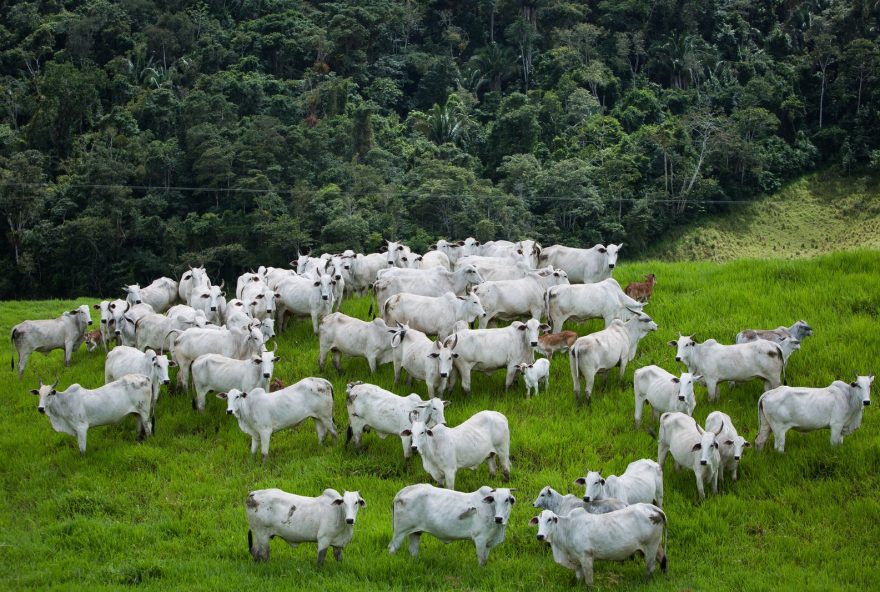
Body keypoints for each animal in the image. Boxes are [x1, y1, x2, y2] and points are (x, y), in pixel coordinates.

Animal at [386, 486, 516, 564]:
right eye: (494, 500)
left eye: (507, 500)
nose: (498, 519)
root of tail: (402, 492)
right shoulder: (480, 539)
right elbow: (481, 560)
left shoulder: (488, 543)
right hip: (400, 532)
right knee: (392, 548)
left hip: (415, 532)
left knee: (413, 550)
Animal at [528, 504, 668, 588]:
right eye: (538, 521)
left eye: (550, 519)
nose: (540, 536)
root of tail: (653, 508)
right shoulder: (577, 561)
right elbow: (579, 577)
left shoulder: (586, 557)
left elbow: (589, 580)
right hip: (656, 546)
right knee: (663, 560)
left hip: (650, 547)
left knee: (650, 567)